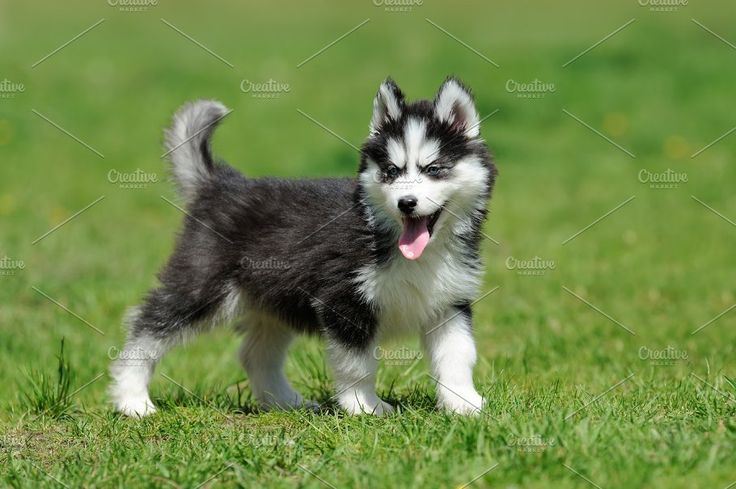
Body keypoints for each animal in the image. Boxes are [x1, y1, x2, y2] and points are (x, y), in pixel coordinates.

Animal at [109, 76, 498, 416]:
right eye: (391, 171)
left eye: (434, 169)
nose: (406, 203)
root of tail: (220, 183)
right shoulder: (344, 301)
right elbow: (359, 366)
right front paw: (365, 408)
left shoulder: (449, 302)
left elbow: (458, 356)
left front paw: (464, 404)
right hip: (200, 284)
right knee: (146, 329)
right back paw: (132, 399)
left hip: (272, 300)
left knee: (255, 355)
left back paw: (285, 403)